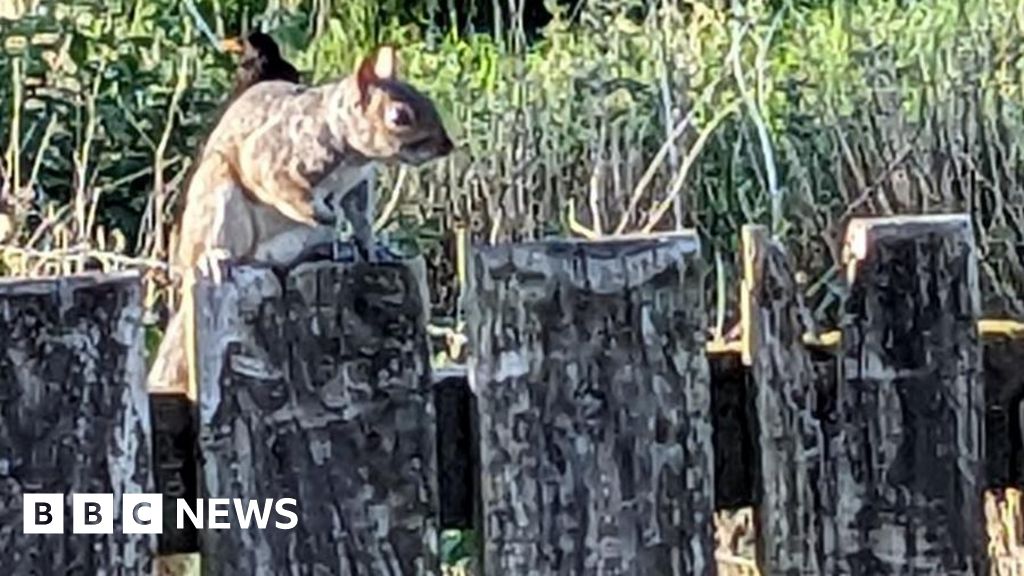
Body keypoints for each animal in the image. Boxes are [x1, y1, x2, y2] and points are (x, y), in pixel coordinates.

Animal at [149, 45, 454, 393]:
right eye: (399, 117)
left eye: (427, 99)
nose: (447, 146)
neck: (351, 152)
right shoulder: (275, 158)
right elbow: (286, 190)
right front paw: (323, 214)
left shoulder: (359, 186)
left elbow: (360, 217)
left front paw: (373, 246)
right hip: (215, 194)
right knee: (210, 244)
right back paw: (214, 257)